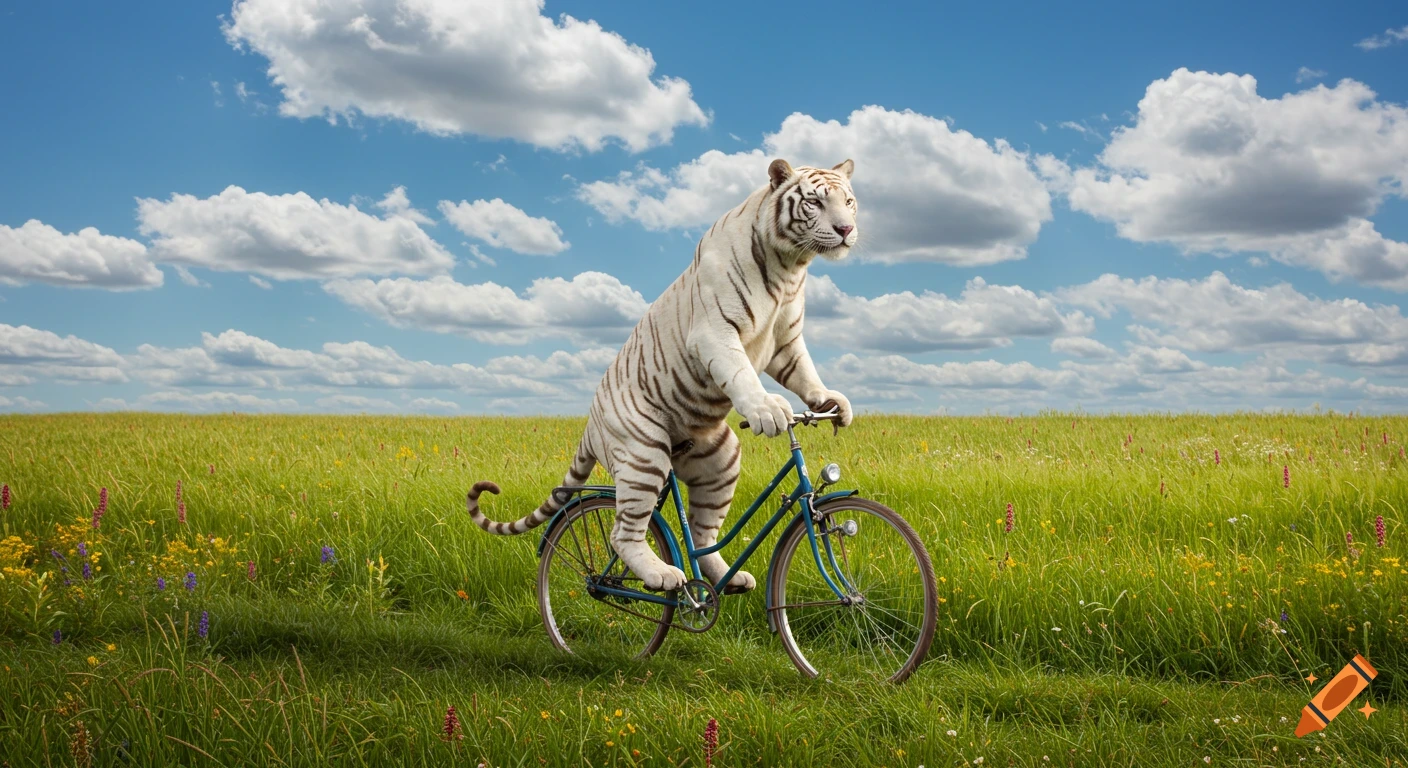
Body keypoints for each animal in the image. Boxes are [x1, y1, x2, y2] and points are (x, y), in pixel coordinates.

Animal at [466, 158, 858, 592]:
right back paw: (660, 576)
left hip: (720, 459)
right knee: (623, 534)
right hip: (643, 456)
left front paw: (832, 402)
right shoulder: (715, 331)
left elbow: (804, 372)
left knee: (701, 533)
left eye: (848, 202)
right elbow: (741, 372)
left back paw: (723, 578)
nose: (846, 230)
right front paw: (767, 410)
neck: (790, 268)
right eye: (814, 202)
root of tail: (589, 426)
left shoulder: (786, 340)